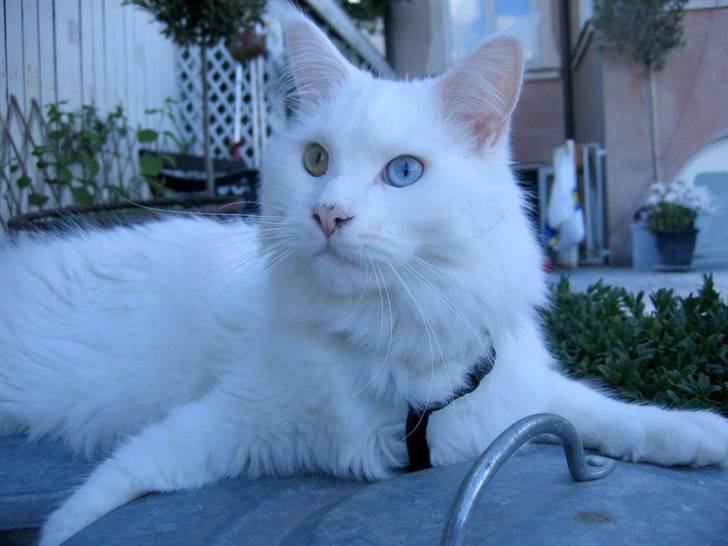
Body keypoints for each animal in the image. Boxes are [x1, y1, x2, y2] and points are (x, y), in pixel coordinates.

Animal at [0, 4, 724, 544]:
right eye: (316, 160)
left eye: (403, 172)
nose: (328, 214)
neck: (392, 334)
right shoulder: (222, 422)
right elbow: (103, 494)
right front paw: (64, 530)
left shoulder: (513, 389)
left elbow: (602, 410)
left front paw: (696, 434)